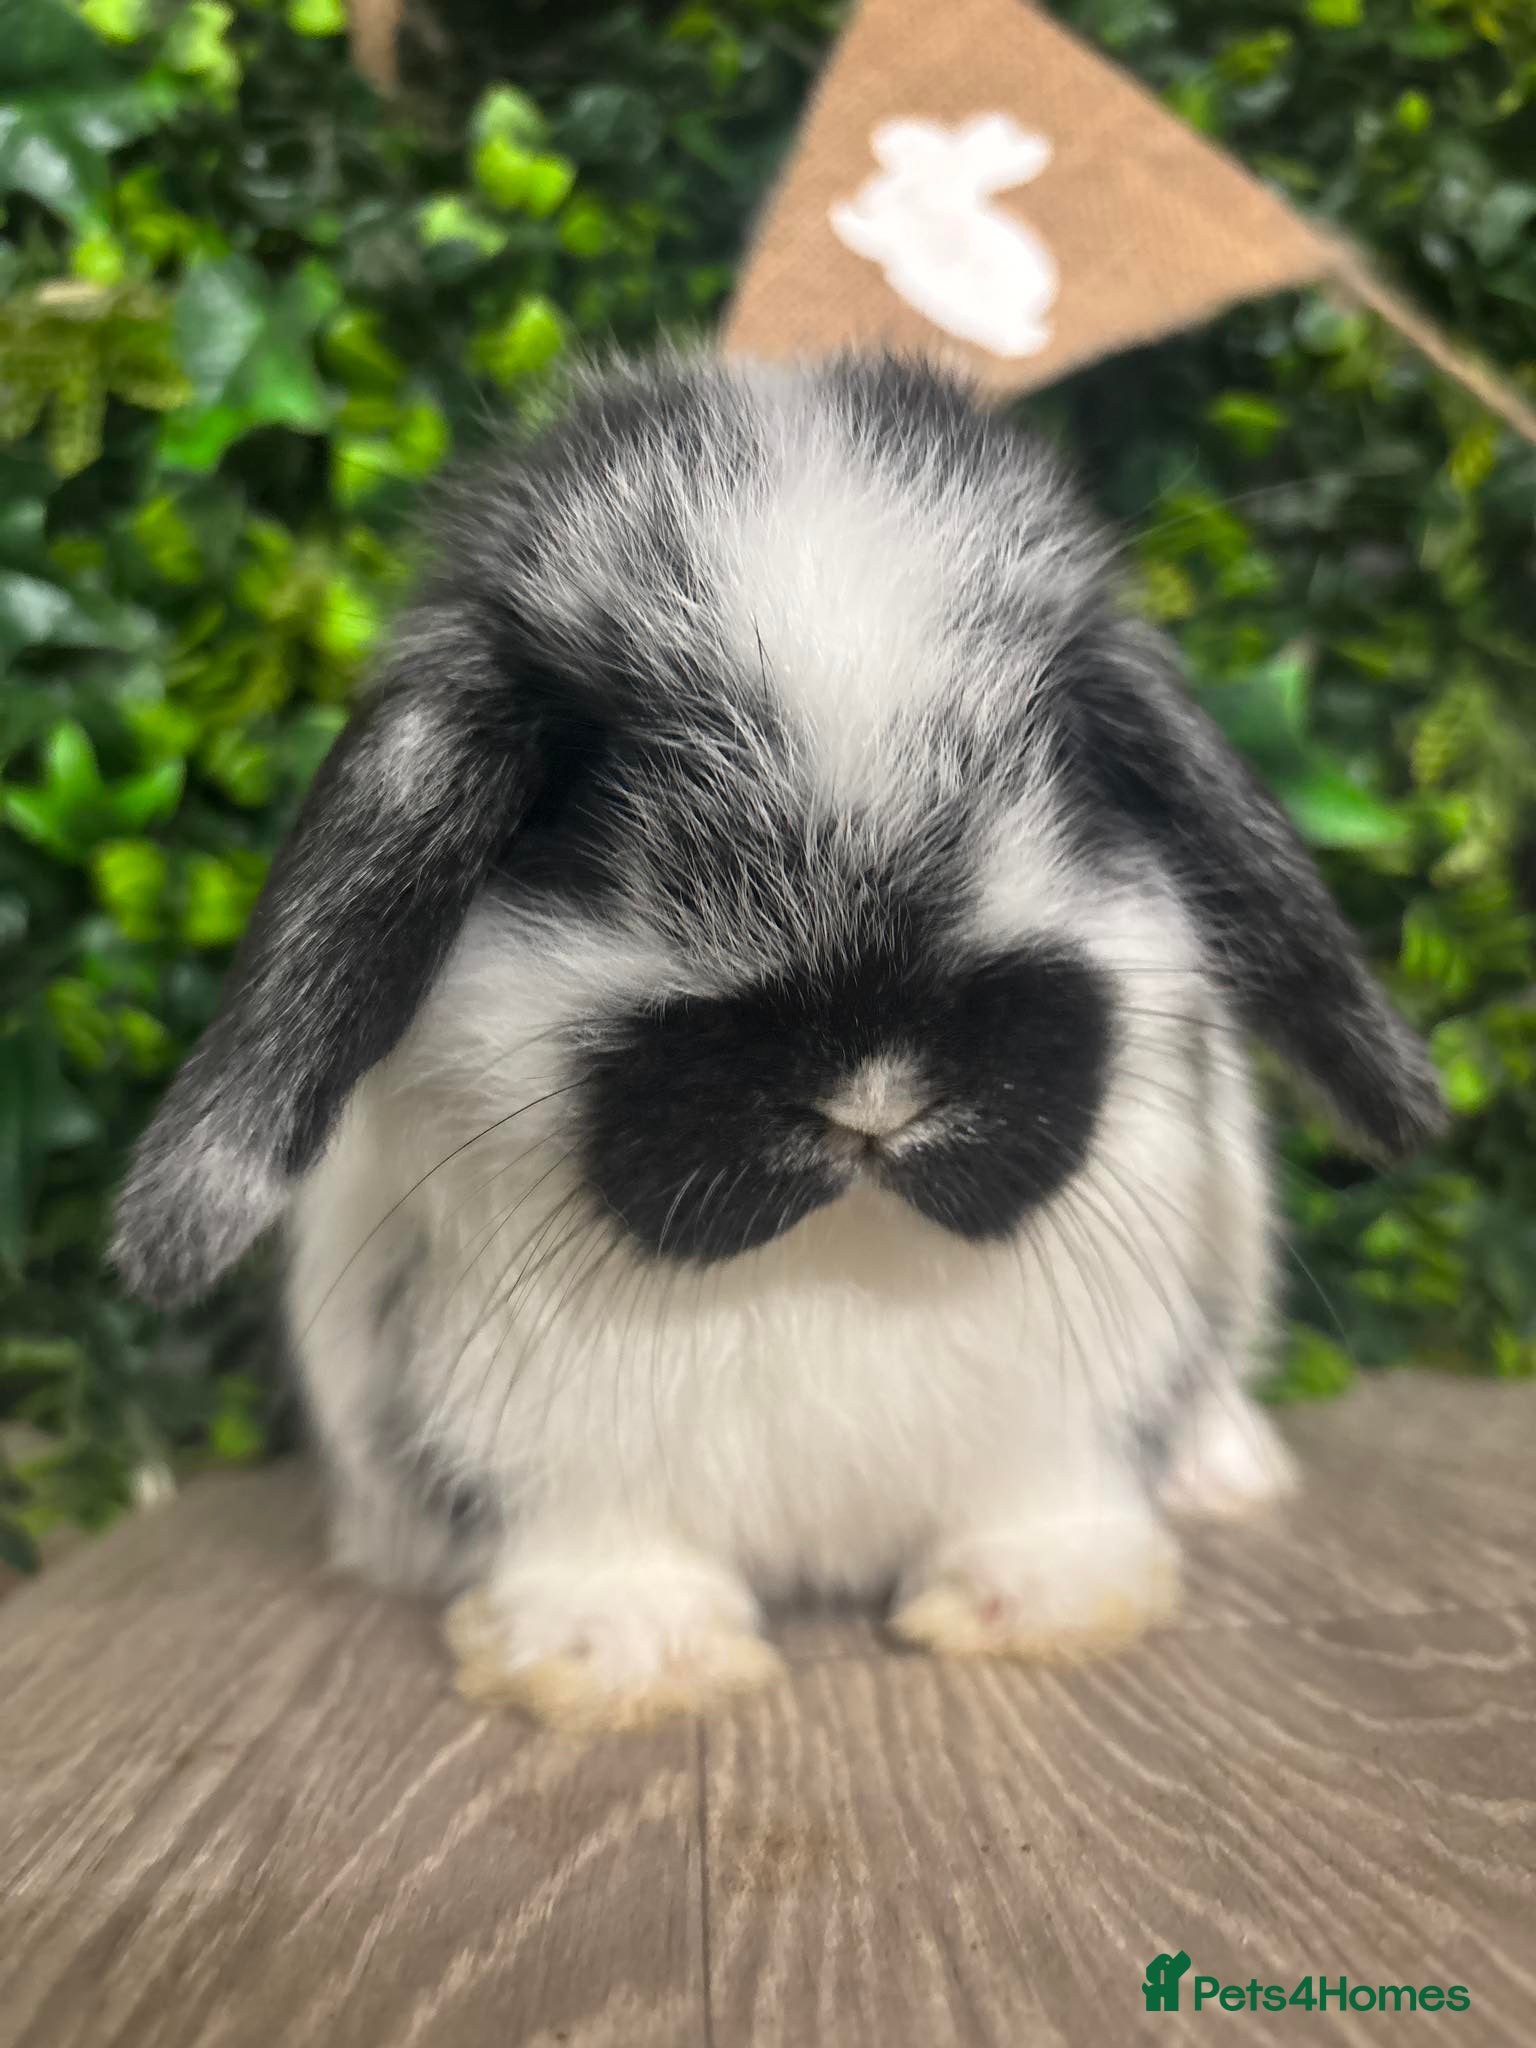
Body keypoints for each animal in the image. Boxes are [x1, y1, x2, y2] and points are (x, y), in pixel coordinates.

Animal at [113, 354, 1445, 1732]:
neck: (832, 1255)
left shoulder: (1066, 1397)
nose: (874, 1093)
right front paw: (619, 1652)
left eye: (1068, 767)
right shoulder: (546, 1447)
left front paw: (1038, 1601)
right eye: (586, 811)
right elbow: (598, 1545)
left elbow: (1043, 1498)